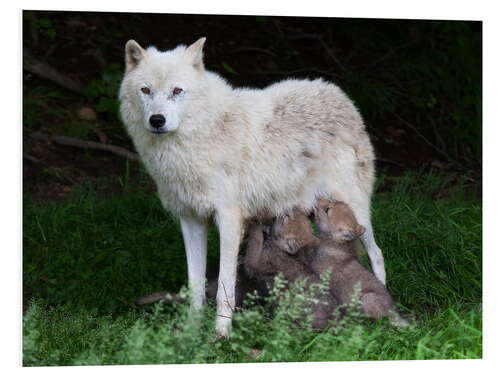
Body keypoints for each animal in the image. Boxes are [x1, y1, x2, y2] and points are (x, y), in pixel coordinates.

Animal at [119, 38, 384, 338]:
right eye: (145, 90)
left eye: (177, 91)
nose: (157, 120)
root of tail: (339, 95)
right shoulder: (191, 220)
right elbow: (195, 285)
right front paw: (191, 331)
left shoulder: (229, 220)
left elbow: (224, 287)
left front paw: (221, 334)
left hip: (356, 211)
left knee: (377, 254)